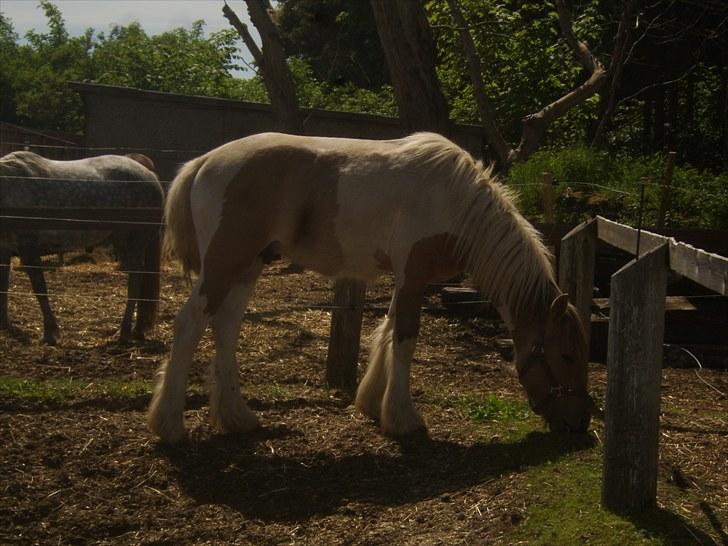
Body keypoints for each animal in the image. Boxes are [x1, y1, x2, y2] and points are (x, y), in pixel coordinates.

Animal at [1, 151, 164, 342]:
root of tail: (150, 175)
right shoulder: (4, 250)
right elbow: (3, 286)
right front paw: (5, 326)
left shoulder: (28, 247)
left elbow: (39, 288)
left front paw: (50, 332)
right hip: (122, 241)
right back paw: (136, 330)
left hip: (134, 242)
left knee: (135, 283)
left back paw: (123, 333)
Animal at [151, 131, 596, 442]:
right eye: (568, 355)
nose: (580, 421)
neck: (454, 201)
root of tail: (204, 161)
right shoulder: (414, 277)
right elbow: (405, 340)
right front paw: (403, 419)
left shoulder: (405, 280)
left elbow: (386, 332)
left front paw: (371, 404)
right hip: (223, 267)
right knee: (189, 326)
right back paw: (169, 424)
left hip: (246, 268)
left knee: (226, 329)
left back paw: (237, 417)